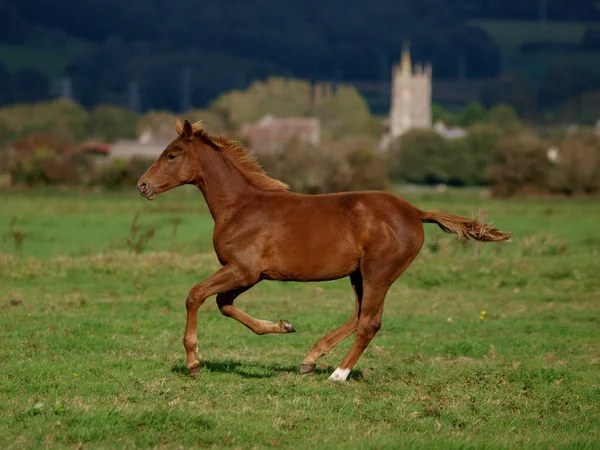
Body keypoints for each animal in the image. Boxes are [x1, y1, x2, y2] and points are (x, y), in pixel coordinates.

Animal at [137, 118, 510, 380]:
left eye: (172, 155)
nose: (142, 185)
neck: (241, 207)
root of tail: (416, 212)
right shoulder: (248, 275)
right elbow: (224, 305)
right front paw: (283, 325)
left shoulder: (243, 270)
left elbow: (195, 296)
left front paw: (193, 363)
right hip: (359, 275)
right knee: (359, 316)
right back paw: (310, 360)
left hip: (378, 273)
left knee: (369, 322)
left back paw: (338, 374)